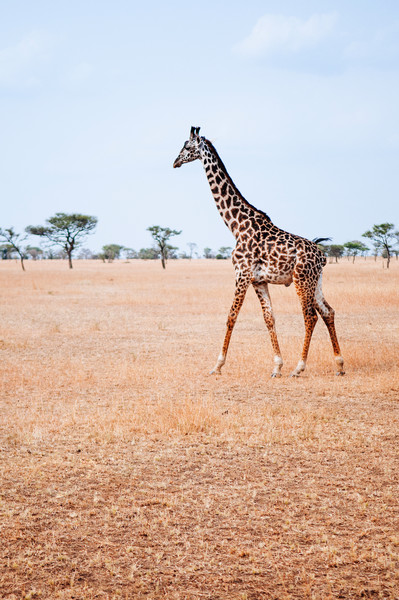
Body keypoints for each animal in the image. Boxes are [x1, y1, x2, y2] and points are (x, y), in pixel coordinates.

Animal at [173, 126, 346, 378]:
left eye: (186, 146)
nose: (175, 161)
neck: (236, 225)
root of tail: (322, 256)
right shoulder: (258, 280)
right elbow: (269, 318)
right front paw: (277, 366)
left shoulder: (241, 274)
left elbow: (231, 317)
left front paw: (217, 365)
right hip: (316, 281)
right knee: (328, 312)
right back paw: (339, 364)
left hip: (301, 279)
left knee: (310, 316)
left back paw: (299, 367)